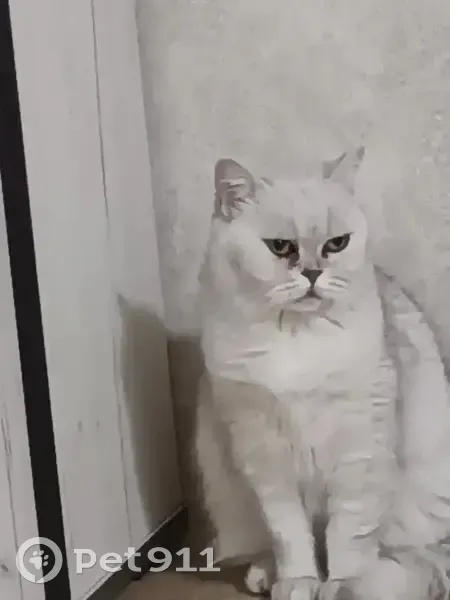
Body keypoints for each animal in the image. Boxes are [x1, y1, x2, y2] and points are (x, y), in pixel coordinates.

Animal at [194, 150, 438, 600]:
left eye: (336, 244)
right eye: (280, 247)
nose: (312, 274)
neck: (298, 336)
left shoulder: (359, 454)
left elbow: (348, 535)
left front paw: (342, 586)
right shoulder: (265, 458)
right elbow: (290, 535)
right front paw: (298, 582)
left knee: (407, 555)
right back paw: (266, 574)